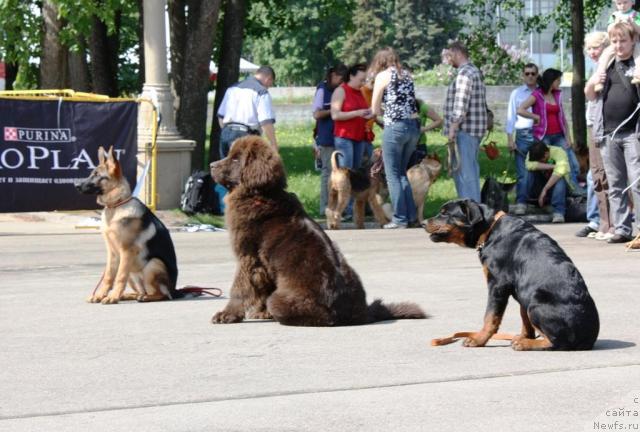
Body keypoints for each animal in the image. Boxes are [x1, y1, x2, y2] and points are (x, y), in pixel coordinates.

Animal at [75, 147, 180, 306]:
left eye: (97, 175)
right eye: (91, 174)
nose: (76, 186)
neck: (116, 205)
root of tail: (176, 291)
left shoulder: (126, 251)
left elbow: (119, 277)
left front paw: (112, 297)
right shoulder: (113, 253)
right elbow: (108, 277)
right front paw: (100, 295)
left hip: (152, 264)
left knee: (160, 294)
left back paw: (144, 297)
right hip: (132, 271)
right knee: (140, 291)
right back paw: (128, 295)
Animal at [210, 137, 428, 326]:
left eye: (236, 158)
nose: (211, 165)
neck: (260, 195)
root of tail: (362, 313)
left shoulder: (248, 258)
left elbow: (240, 289)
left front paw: (227, 315)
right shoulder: (261, 264)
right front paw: (260, 313)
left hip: (280, 300)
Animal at [424, 199, 600, 352]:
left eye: (445, 213)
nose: (423, 223)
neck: (489, 230)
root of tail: (588, 340)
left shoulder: (497, 285)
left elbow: (490, 317)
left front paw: (479, 339)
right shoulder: (521, 291)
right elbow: (525, 320)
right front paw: (523, 336)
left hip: (536, 302)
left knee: (558, 343)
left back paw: (526, 345)